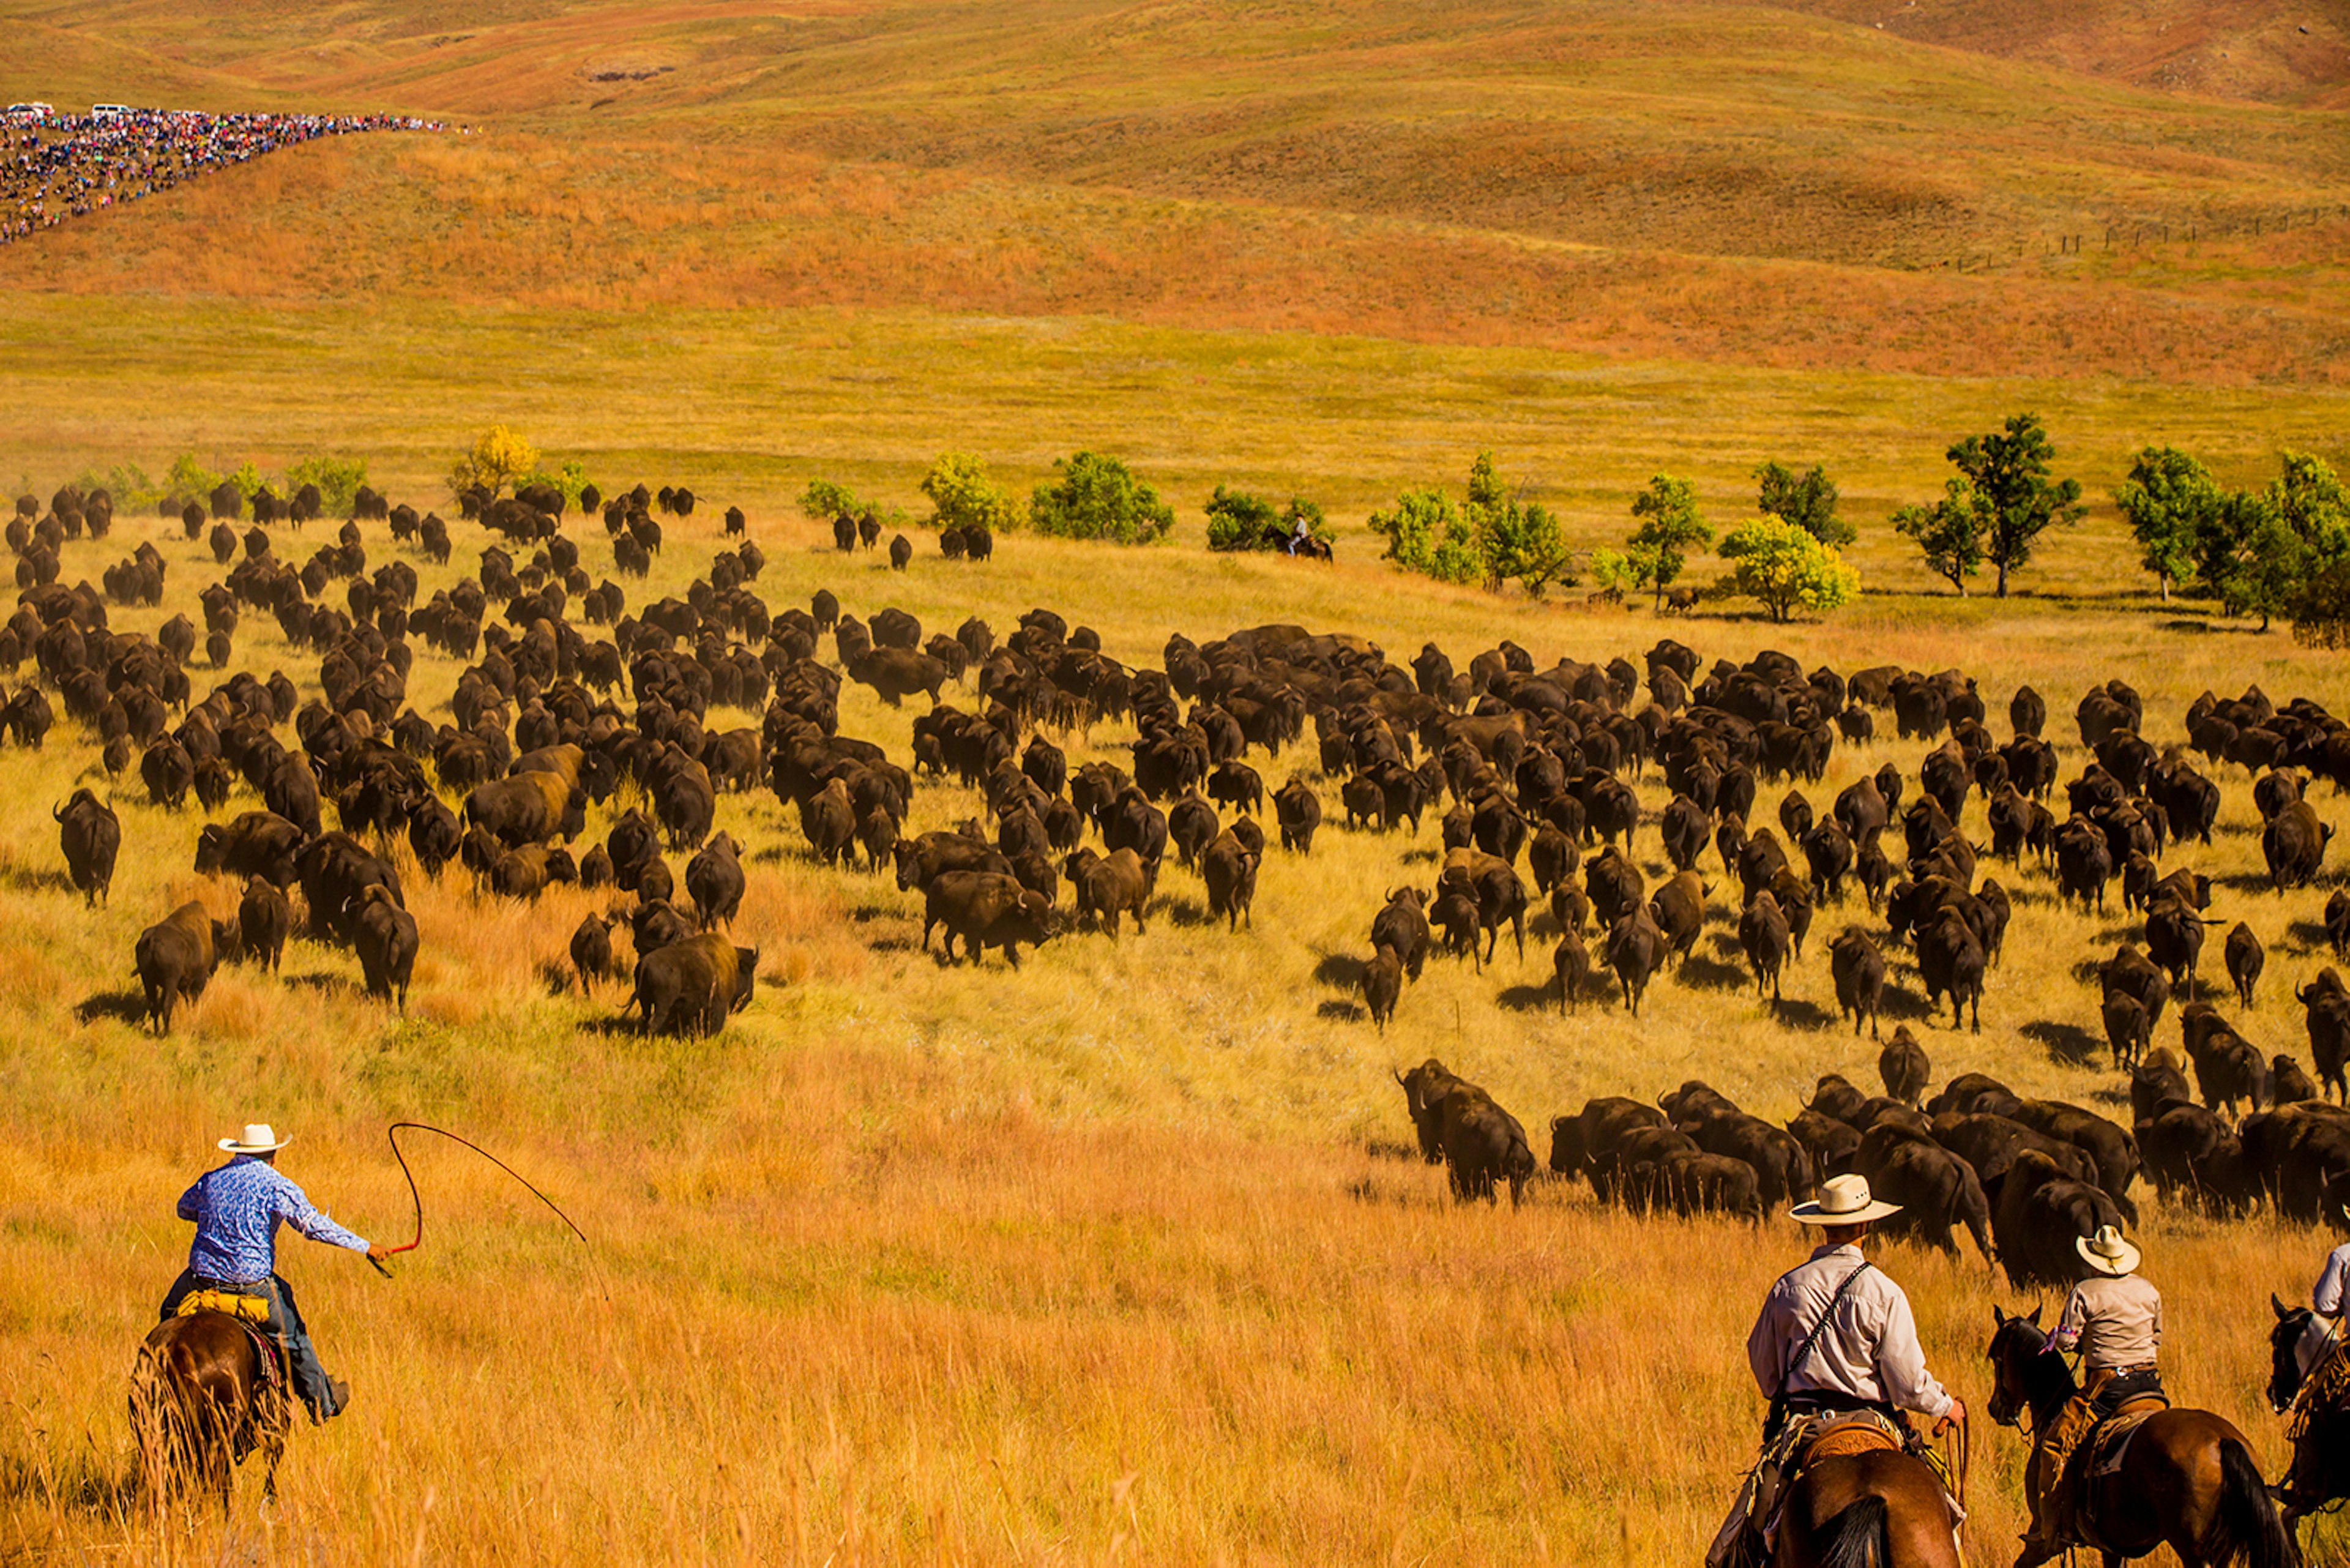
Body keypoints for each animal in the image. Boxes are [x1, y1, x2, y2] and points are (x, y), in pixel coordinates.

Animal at [1983, 1307, 2293, 1568]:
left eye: (1997, 1360)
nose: (1995, 1408)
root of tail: (2222, 1442)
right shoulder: (2111, 1546)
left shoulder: (2042, 1539)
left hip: (2194, 1551)